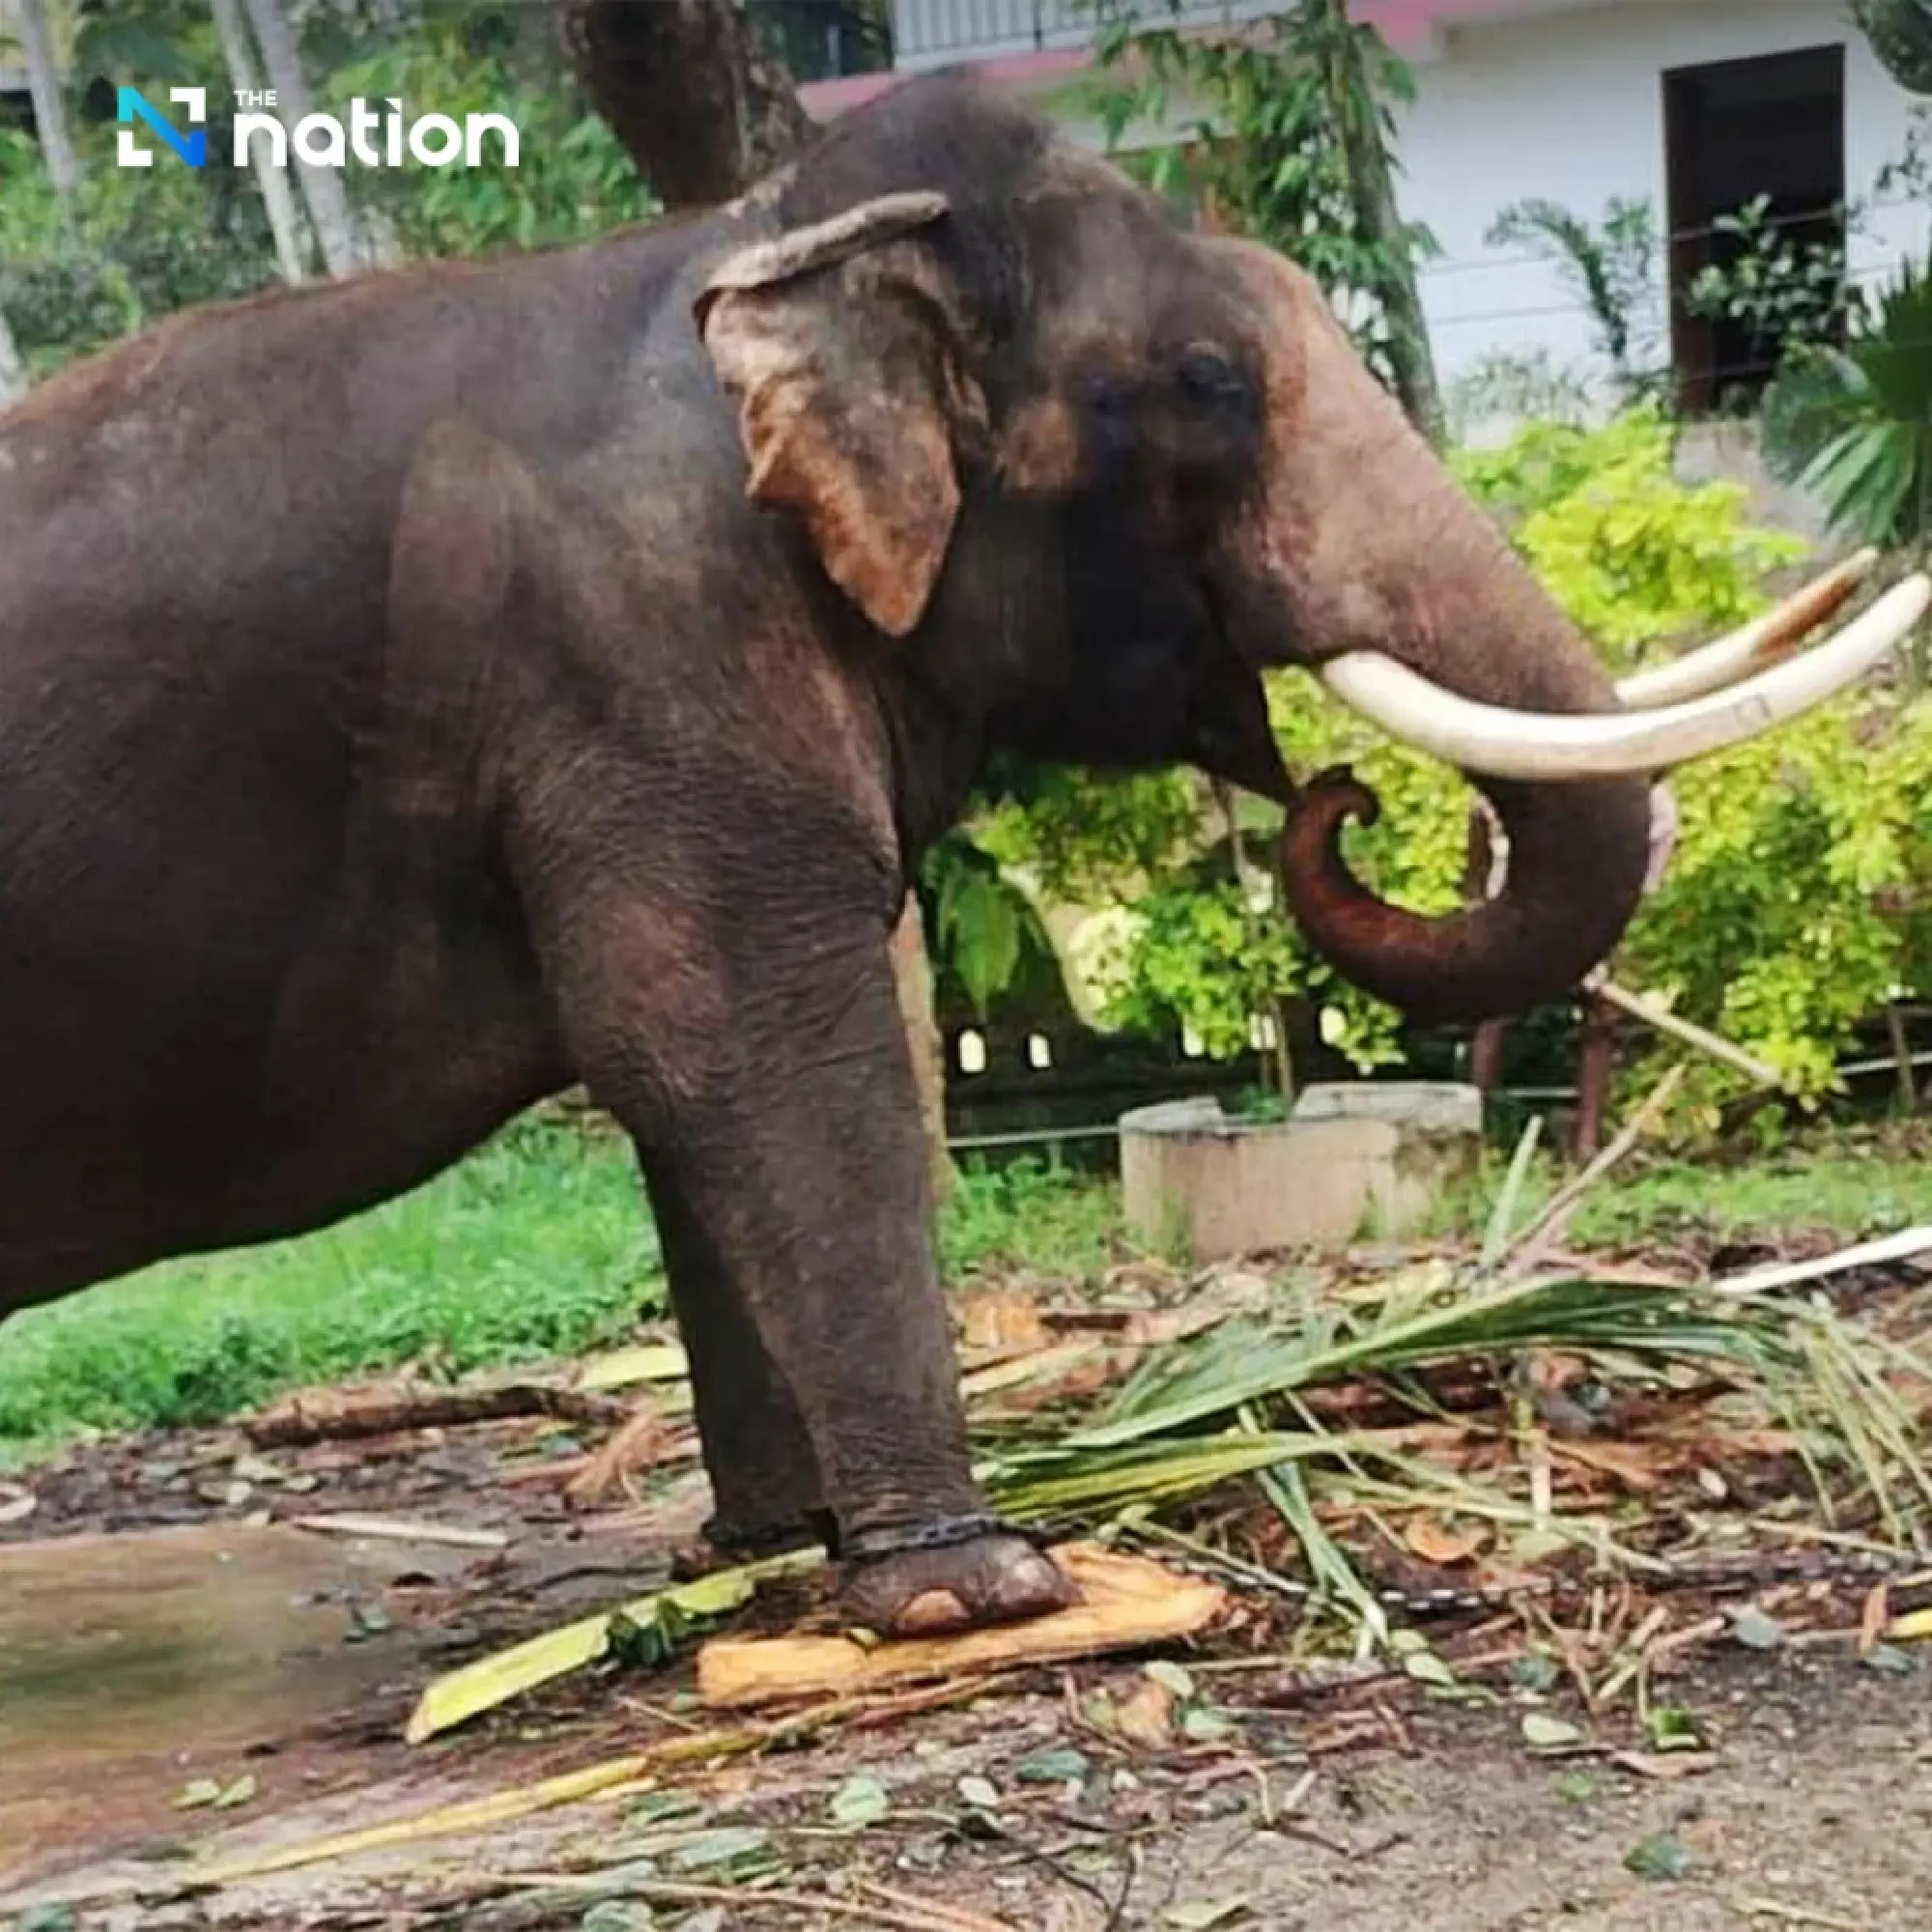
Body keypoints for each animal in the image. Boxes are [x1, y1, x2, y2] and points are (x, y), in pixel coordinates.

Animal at [0, 69, 1917, 1637]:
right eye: (1207, 384)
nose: (1337, 798)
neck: (748, 244)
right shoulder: (647, 647)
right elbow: (739, 1044)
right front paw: (975, 1589)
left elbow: (691, 1093)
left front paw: (774, 1556)